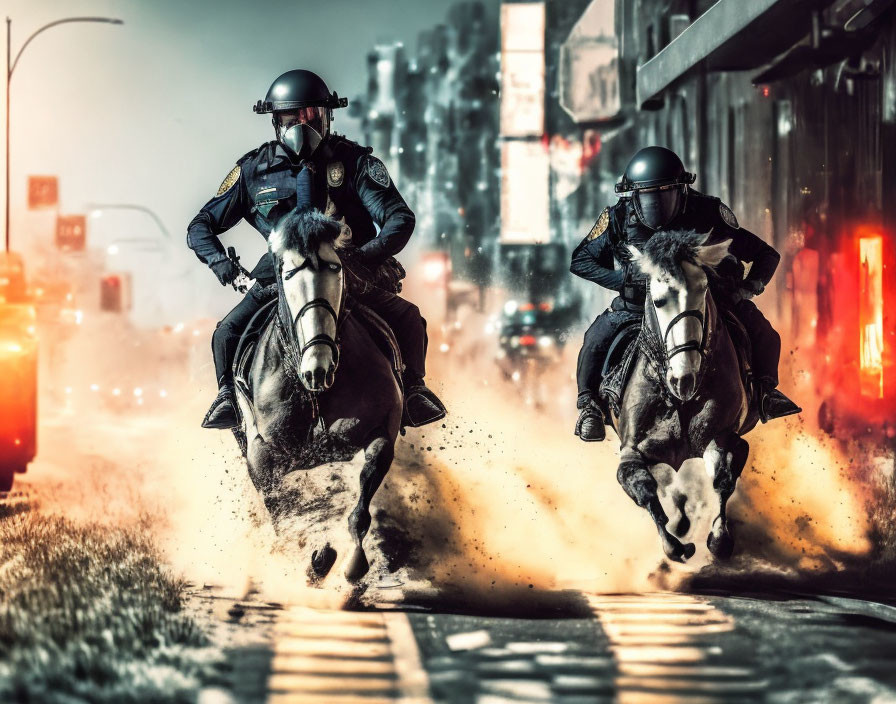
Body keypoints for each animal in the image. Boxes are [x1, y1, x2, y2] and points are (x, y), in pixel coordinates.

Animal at [233, 209, 400, 584]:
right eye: (288, 274)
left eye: (336, 268)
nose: (318, 367)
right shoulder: (262, 456)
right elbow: (281, 513)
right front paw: (313, 559)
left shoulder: (380, 432)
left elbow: (361, 504)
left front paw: (351, 563)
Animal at [608, 230, 756, 560]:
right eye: (659, 300)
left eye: (703, 290)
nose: (683, 379)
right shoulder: (631, 449)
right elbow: (642, 487)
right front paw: (674, 545)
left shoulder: (721, 435)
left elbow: (723, 477)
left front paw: (719, 539)